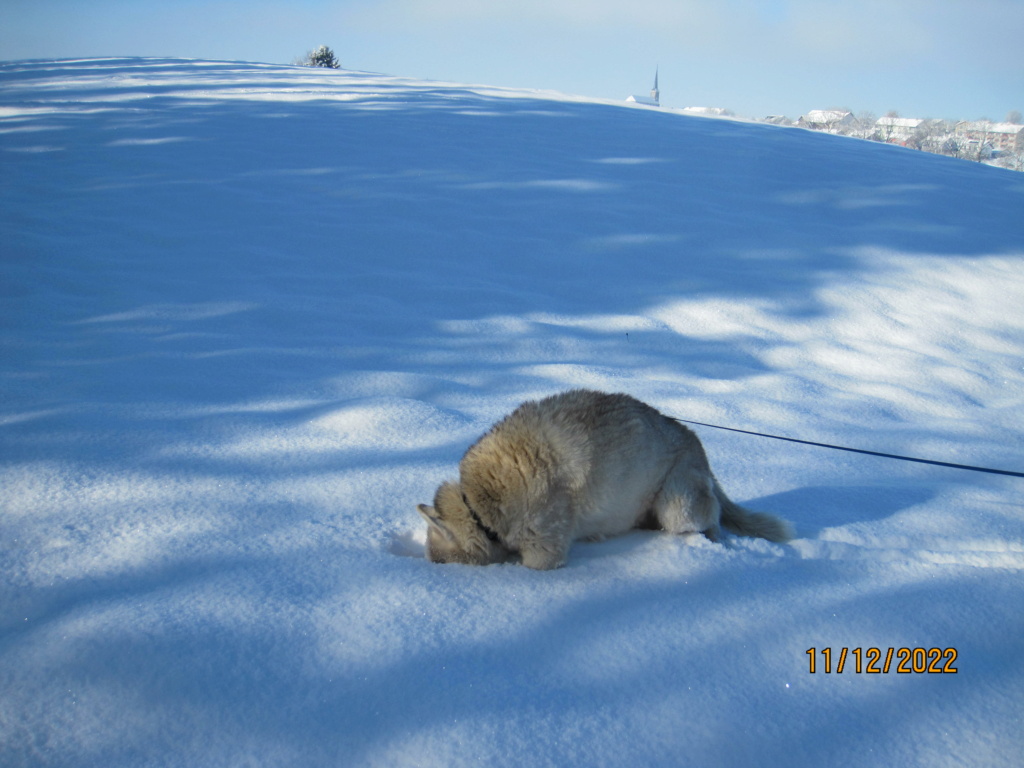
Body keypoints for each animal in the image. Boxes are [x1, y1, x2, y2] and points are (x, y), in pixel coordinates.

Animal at [417, 393, 790, 569]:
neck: (480, 500)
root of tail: (696, 443)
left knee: (711, 521)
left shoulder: (546, 551)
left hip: (678, 505)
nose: (430, 571)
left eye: (440, 562)